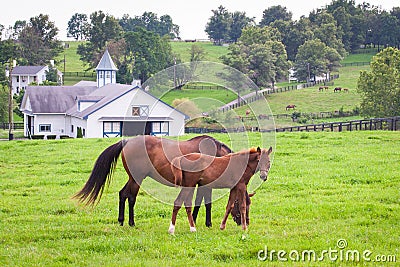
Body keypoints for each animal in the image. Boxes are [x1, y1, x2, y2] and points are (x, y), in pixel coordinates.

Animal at [74, 136, 245, 228]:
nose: (241, 222)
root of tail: (127, 142)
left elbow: (199, 202)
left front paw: (195, 221)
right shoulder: (205, 184)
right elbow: (206, 203)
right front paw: (206, 223)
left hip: (132, 179)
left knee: (122, 194)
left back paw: (121, 221)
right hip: (137, 179)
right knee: (131, 197)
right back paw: (131, 222)